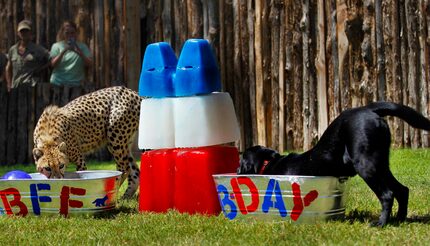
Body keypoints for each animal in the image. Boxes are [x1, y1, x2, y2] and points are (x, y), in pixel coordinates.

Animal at [237, 102, 430, 227]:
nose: (237, 171)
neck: (269, 162)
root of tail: (366, 109)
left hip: (366, 165)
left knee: (388, 194)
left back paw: (381, 223)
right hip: (381, 163)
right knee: (402, 190)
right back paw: (399, 219)